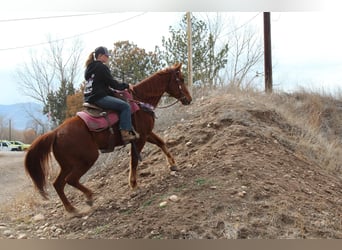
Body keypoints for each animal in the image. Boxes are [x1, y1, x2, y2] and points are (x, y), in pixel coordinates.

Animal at [25, 63, 191, 213]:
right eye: (181, 79)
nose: (188, 99)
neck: (140, 101)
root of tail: (56, 133)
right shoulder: (140, 138)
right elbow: (134, 160)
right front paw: (133, 184)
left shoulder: (146, 134)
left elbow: (161, 143)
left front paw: (173, 164)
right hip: (87, 159)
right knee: (70, 180)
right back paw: (89, 197)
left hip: (68, 165)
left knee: (58, 184)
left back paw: (72, 209)